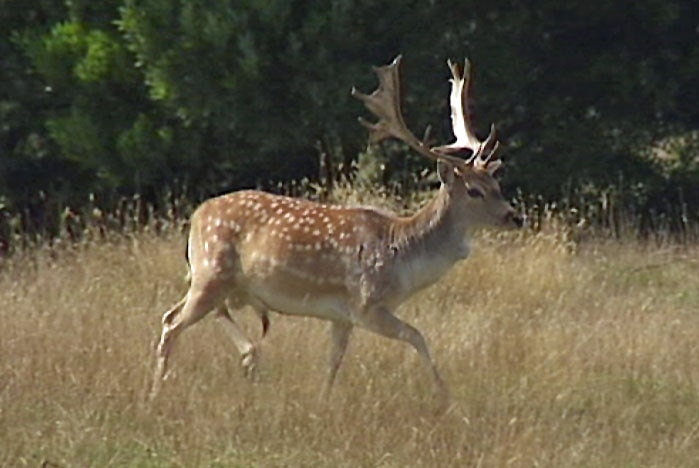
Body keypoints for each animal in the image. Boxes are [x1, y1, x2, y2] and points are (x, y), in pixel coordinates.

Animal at [154, 55, 524, 402]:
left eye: (496, 184)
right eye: (474, 191)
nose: (514, 216)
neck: (402, 257)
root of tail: (197, 216)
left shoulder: (342, 316)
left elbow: (333, 363)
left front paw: (323, 401)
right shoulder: (366, 304)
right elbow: (418, 336)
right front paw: (445, 397)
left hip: (223, 282)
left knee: (192, 313)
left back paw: (248, 357)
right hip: (211, 272)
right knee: (171, 322)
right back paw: (156, 392)